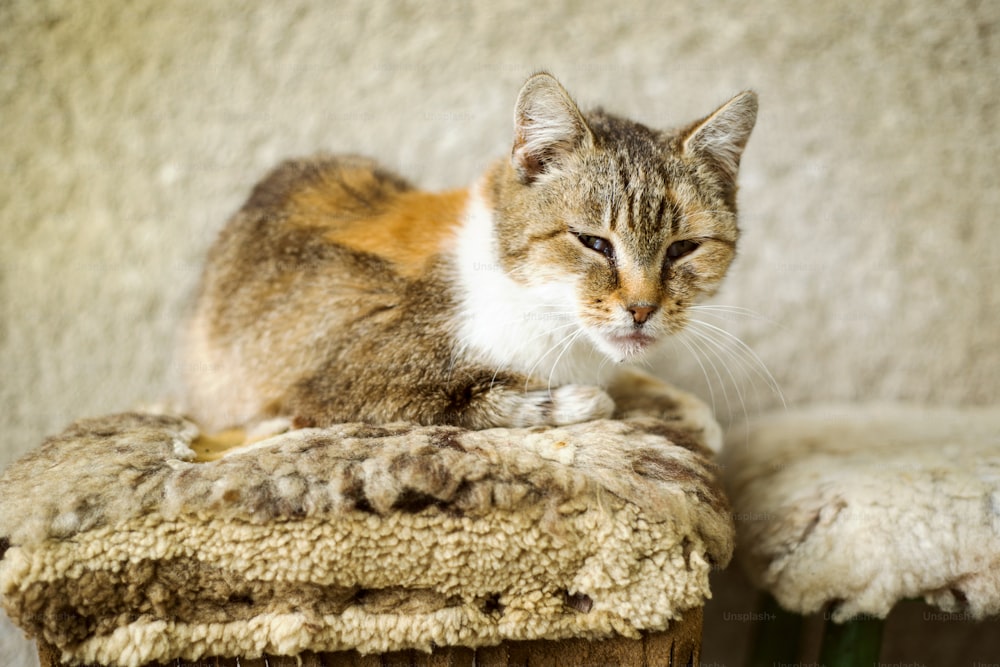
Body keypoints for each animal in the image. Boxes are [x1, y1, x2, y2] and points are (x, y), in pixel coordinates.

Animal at [182, 70, 756, 430]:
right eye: (593, 242)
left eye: (683, 249)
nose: (641, 309)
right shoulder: (339, 386)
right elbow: (484, 399)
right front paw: (579, 400)